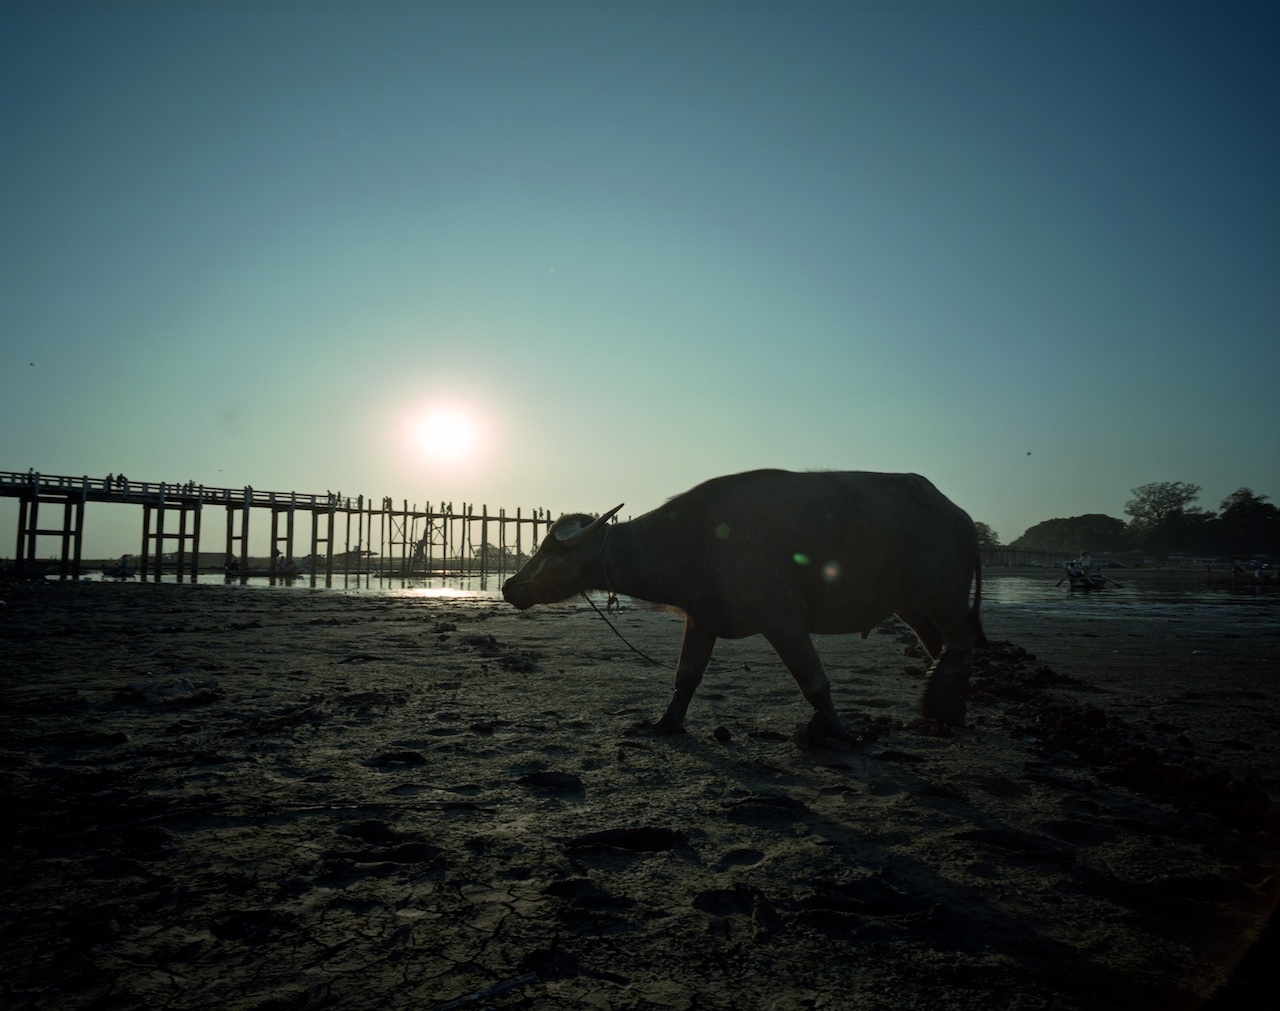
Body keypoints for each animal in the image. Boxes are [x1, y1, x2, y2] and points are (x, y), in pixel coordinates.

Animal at [501, 468, 988, 742]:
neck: (692, 541)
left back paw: (940, 703)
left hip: (941, 598)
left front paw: (837, 731)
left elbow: (815, 681)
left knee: (960, 643)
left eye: (552, 549)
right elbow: (686, 677)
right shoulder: (701, 620)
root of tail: (961, 518)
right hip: (912, 606)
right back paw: (951, 711)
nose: (509, 586)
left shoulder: (784, 620)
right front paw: (666, 723)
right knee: (938, 645)